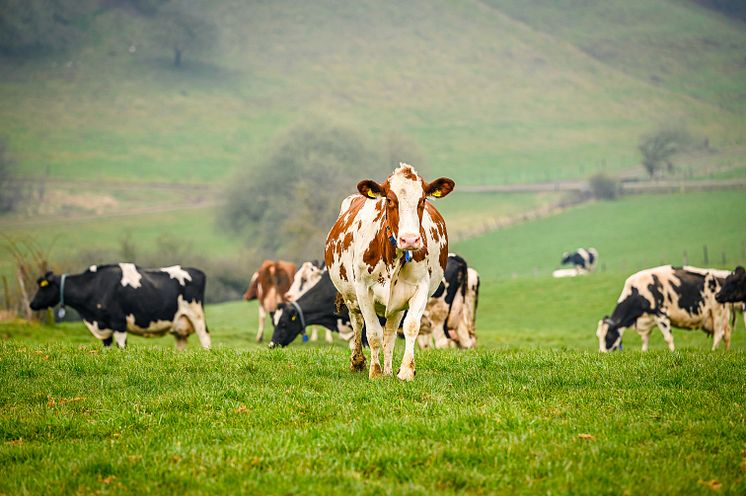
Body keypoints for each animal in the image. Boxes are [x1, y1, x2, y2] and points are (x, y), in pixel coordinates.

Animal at [29, 264, 209, 348]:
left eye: (42, 287)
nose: (32, 304)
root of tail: (198, 271)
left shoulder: (118, 323)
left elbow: (122, 347)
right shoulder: (103, 326)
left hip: (196, 315)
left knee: (205, 338)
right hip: (179, 323)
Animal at [324, 163, 454, 380]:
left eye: (422, 200)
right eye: (391, 200)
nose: (409, 239)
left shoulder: (420, 287)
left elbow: (410, 327)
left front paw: (406, 371)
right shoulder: (363, 289)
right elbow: (373, 333)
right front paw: (375, 372)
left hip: (397, 304)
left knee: (391, 332)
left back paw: (388, 370)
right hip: (350, 295)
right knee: (357, 321)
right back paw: (357, 361)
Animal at [596, 264, 728, 352]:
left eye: (608, 336)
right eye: (598, 336)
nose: (602, 353)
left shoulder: (661, 315)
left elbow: (668, 338)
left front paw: (673, 352)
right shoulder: (647, 320)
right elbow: (645, 340)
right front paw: (644, 352)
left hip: (717, 312)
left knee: (719, 334)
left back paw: (713, 351)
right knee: (726, 335)